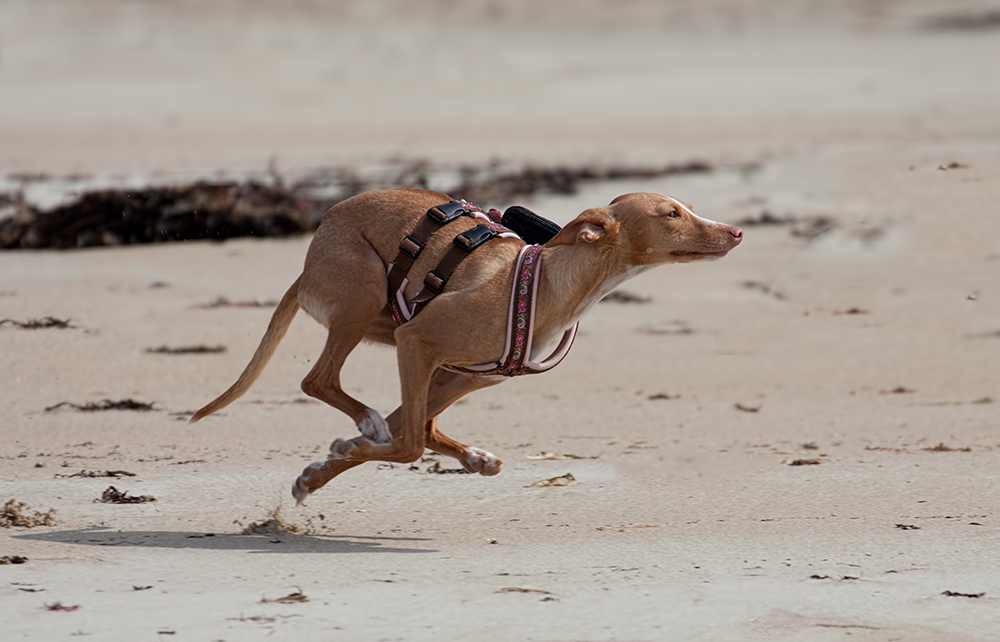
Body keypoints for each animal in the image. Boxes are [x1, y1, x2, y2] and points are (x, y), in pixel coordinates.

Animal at [191, 188, 744, 502]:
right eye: (671, 214)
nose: (737, 231)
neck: (548, 283)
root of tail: (308, 261)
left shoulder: (454, 372)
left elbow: (406, 433)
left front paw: (318, 473)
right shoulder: (417, 341)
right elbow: (406, 445)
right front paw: (334, 459)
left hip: (422, 354)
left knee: (413, 422)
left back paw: (466, 455)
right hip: (364, 296)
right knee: (321, 381)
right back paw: (368, 423)